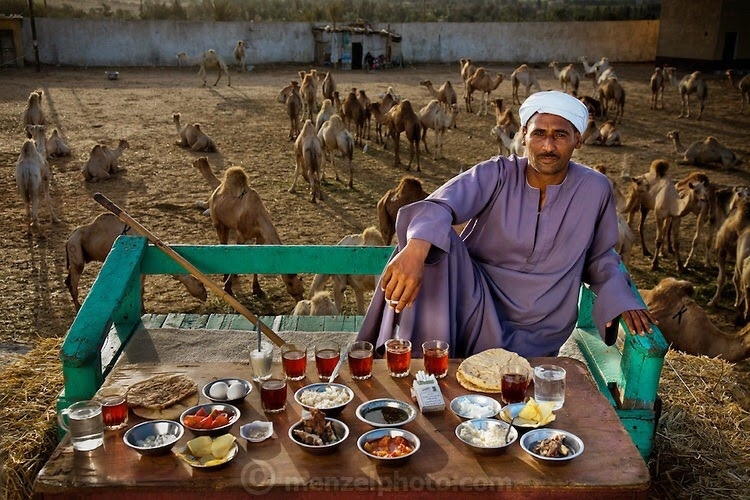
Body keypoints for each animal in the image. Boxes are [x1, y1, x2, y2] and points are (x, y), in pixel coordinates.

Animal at [63, 212, 206, 312]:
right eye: (200, 284)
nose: (205, 295)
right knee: (74, 278)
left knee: (68, 280)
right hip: (75, 248)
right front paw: (142, 310)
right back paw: (78, 307)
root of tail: (68, 238)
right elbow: (140, 289)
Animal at [209, 165, 306, 300]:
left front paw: (257, 290)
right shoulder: (241, 235)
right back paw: (225, 276)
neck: (258, 215)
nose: (300, 299)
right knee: (222, 243)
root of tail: (216, 191)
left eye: (302, 288)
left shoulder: (261, 237)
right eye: (291, 284)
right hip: (217, 221)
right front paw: (227, 288)